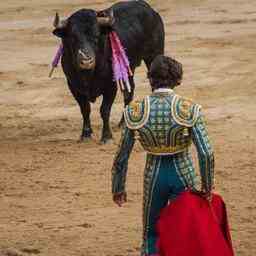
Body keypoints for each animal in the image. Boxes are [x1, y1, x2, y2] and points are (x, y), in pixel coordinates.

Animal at [52, 1, 164, 143]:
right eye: (72, 37)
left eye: (96, 36)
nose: (86, 60)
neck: (88, 74)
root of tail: (149, 9)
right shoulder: (73, 85)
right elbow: (85, 109)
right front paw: (85, 134)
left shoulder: (110, 86)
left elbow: (104, 110)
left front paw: (106, 136)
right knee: (129, 91)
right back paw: (123, 123)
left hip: (154, 56)